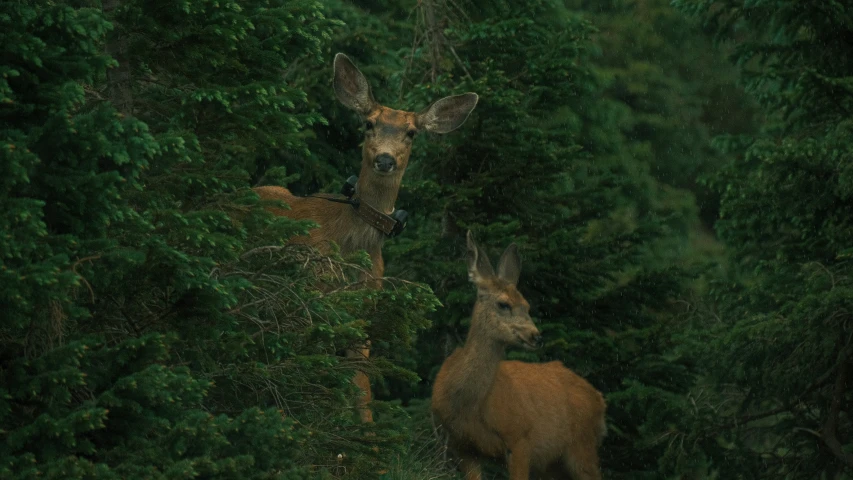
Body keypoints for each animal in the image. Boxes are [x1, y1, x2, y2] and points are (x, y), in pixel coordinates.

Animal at [253, 52, 480, 422]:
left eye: (411, 132)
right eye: (369, 124)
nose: (385, 159)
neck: (351, 243)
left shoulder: (365, 308)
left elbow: (361, 385)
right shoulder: (307, 295)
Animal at [432, 231, 604, 478]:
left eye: (527, 306)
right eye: (503, 304)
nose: (536, 336)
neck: (467, 407)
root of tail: (599, 398)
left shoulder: (520, 437)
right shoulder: (462, 447)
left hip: (582, 446)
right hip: (553, 464)